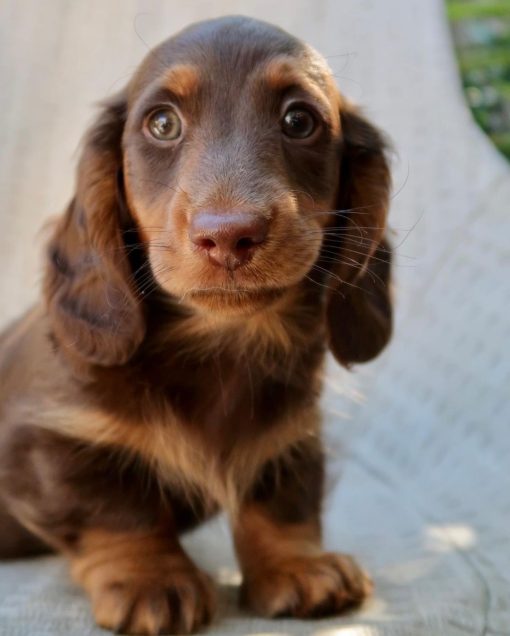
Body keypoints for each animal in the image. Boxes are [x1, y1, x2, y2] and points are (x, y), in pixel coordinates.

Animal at [0, 14, 392, 636]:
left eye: (299, 120)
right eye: (162, 123)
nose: (230, 235)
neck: (217, 346)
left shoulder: (291, 435)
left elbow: (283, 500)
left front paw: (297, 566)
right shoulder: (44, 443)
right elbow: (117, 509)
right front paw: (151, 578)